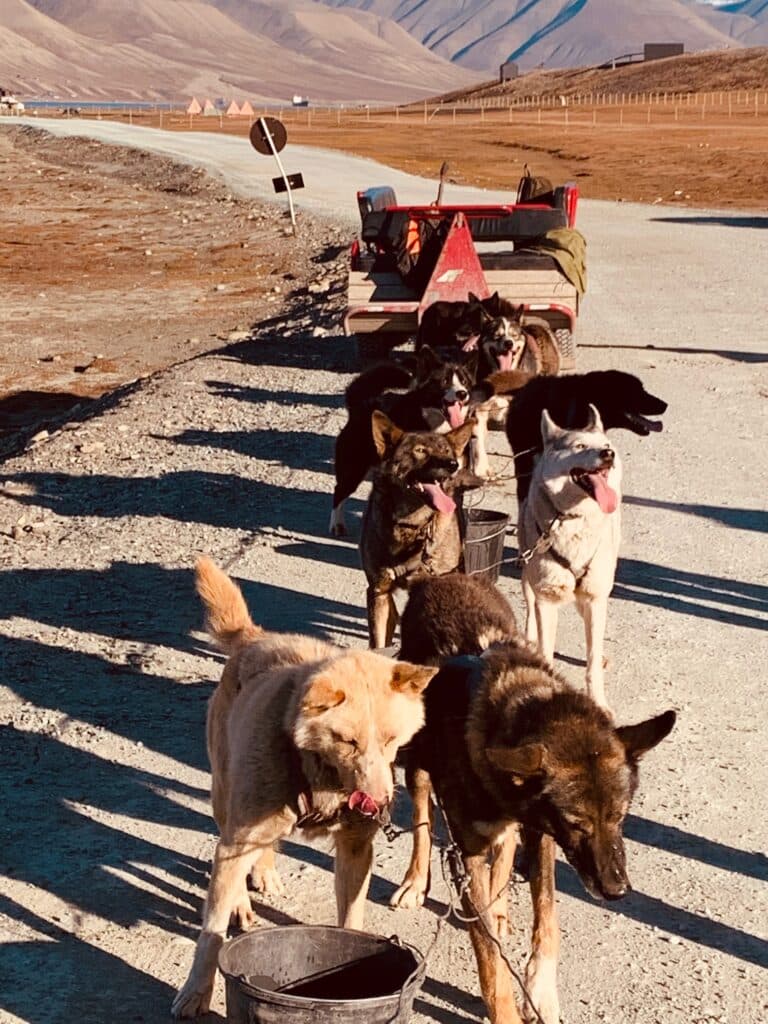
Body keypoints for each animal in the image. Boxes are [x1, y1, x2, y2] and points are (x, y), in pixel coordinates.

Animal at [171, 557, 437, 1018]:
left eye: (390, 739)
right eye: (349, 742)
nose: (379, 803)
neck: (320, 774)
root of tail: (254, 636)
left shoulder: (355, 849)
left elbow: (351, 919)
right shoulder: (237, 840)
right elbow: (211, 933)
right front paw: (196, 991)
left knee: (265, 849)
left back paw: (264, 871)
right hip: (226, 802)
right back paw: (242, 898)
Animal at [330, 345, 486, 537]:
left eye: (464, 382)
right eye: (444, 381)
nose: (462, 394)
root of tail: (361, 403)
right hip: (353, 467)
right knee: (339, 491)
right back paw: (337, 524)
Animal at [359, 411, 476, 649]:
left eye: (446, 451)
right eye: (420, 451)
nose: (452, 464)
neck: (411, 524)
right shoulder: (379, 591)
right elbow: (379, 642)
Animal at [394, 582, 676, 1024]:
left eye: (620, 817)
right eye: (577, 824)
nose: (617, 891)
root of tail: (442, 579)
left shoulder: (541, 834)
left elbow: (548, 918)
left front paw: (541, 990)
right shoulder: (469, 851)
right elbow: (489, 957)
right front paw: (506, 1009)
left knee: (504, 847)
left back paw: (499, 907)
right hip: (418, 767)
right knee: (423, 821)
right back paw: (415, 882)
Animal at [518, 405, 622, 708]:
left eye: (606, 445)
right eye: (579, 446)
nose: (608, 454)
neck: (575, 519)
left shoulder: (596, 598)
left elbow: (592, 660)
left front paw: (598, 701)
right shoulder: (546, 598)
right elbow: (545, 653)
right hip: (527, 575)